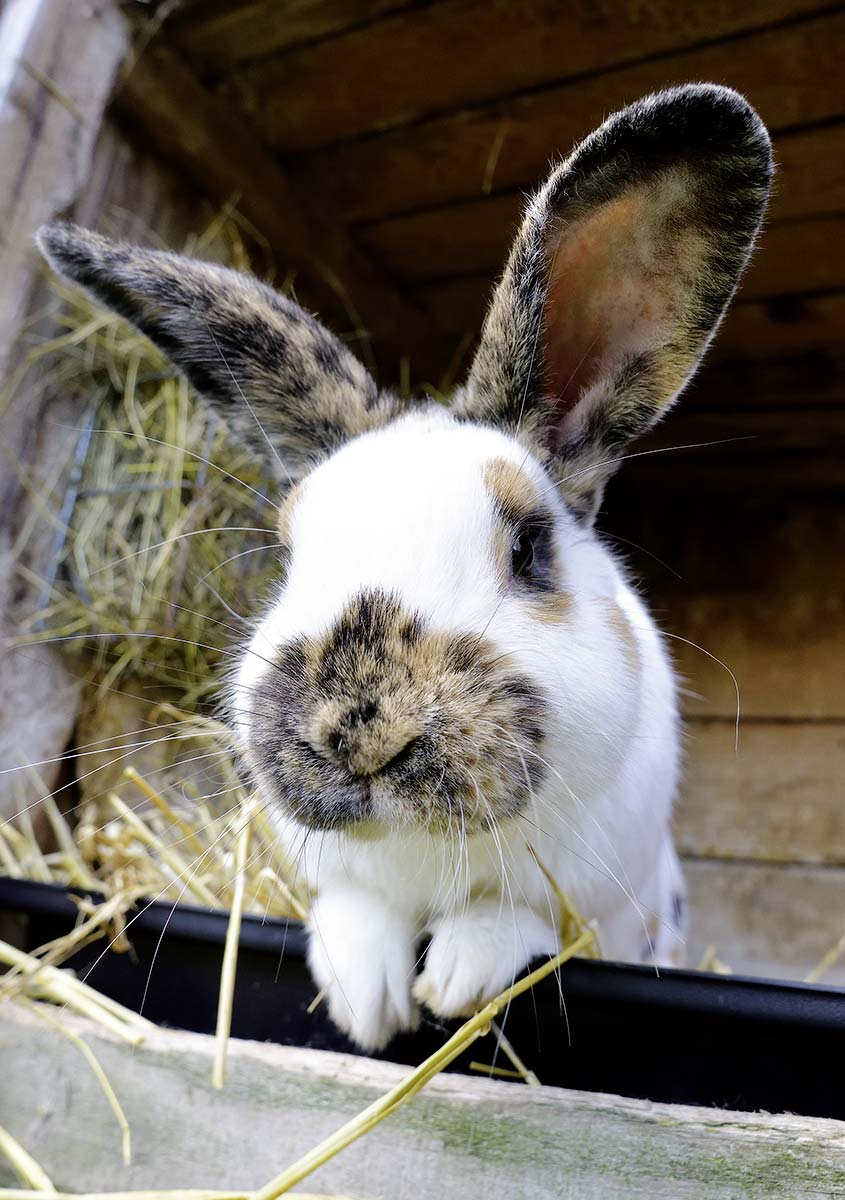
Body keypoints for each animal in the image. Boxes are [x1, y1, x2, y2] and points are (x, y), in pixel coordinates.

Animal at [36, 84, 768, 1051]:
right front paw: (366, 1000)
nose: (358, 730)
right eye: (289, 551)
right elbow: (355, 911)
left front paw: (453, 980)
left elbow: (521, 918)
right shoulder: (341, 877)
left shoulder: (609, 901)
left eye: (529, 548)